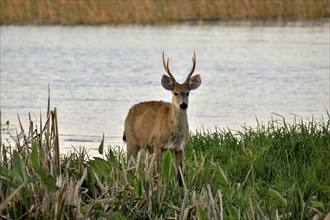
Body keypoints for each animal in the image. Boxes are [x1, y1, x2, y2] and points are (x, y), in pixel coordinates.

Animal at [123, 51, 201, 186]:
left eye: (188, 92)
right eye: (175, 92)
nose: (183, 105)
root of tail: (129, 111)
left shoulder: (180, 148)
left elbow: (180, 175)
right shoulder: (158, 144)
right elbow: (155, 174)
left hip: (148, 148)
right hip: (132, 141)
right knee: (128, 167)